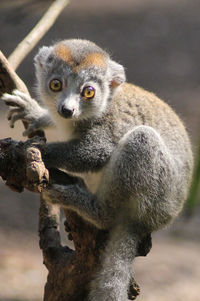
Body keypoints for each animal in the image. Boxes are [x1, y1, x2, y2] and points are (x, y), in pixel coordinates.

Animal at [2, 39, 193, 300]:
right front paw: (36, 112)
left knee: (142, 139)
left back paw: (94, 208)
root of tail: (155, 221)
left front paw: (33, 150)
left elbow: (98, 151)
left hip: (160, 196)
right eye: (56, 84)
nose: (66, 110)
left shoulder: (110, 121)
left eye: (88, 92)